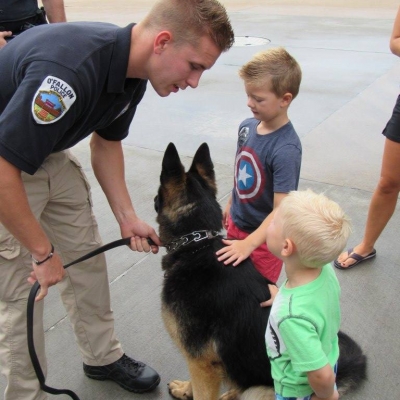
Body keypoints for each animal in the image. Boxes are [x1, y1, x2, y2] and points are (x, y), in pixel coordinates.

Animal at [155, 142, 368, 398]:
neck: (198, 243)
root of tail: (336, 378)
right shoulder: (202, 363)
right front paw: (186, 388)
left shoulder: (202, 363)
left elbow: (202, 391)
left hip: (258, 390)